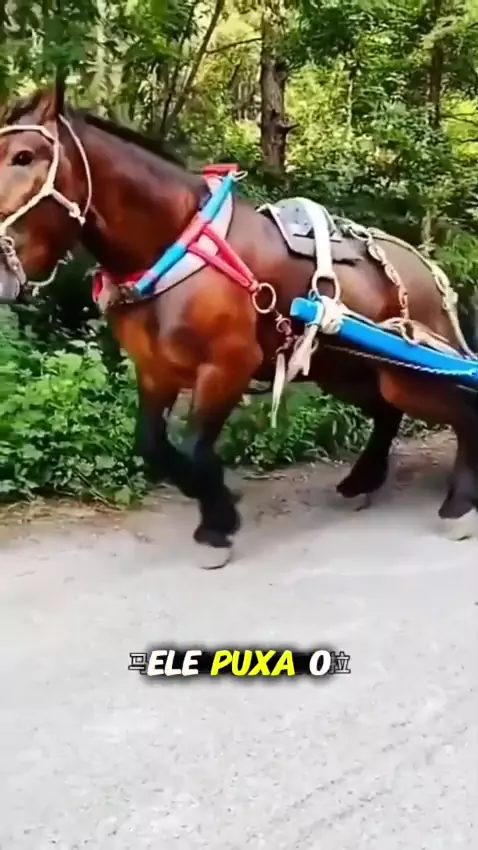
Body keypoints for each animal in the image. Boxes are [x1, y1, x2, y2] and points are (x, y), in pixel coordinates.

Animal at [0, 80, 477, 568]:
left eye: (24, 156)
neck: (174, 245)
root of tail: (428, 270)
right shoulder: (155, 369)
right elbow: (154, 446)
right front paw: (220, 504)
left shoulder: (228, 365)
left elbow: (194, 446)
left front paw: (216, 525)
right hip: (351, 370)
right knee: (388, 411)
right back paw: (363, 480)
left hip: (409, 372)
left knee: (461, 410)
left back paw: (459, 503)